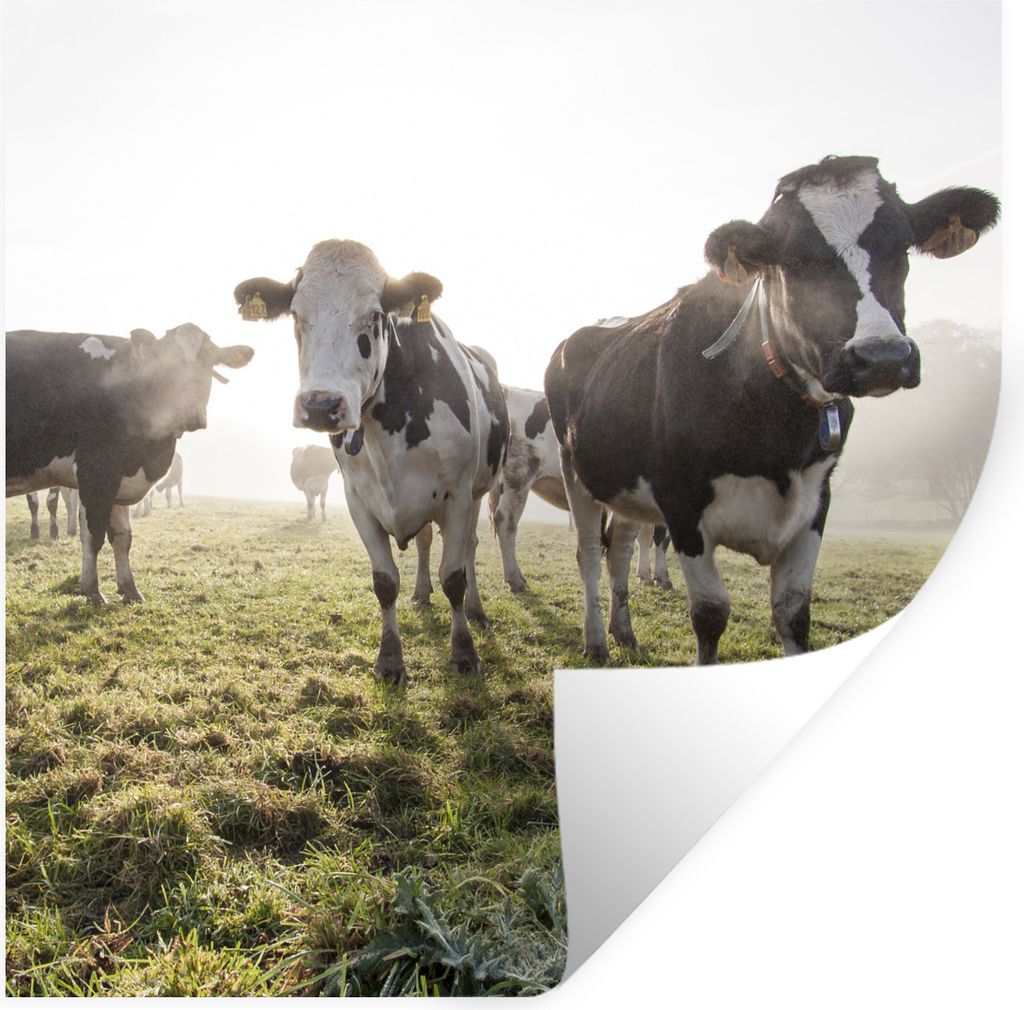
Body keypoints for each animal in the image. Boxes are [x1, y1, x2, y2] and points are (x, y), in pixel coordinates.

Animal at [6, 325, 254, 602]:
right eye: (166, 366)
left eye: (209, 361)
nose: (191, 414)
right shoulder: (96, 469)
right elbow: (93, 534)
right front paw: (92, 590)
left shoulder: (120, 475)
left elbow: (123, 537)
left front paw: (130, 589)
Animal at [234, 239, 509, 685]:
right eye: (296, 315)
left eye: (376, 315)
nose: (321, 405)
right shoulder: (358, 500)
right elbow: (384, 582)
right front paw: (390, 659)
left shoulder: (458, 494)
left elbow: (454, 577)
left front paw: (464, 652)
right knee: (425, 542)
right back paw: (421, 593)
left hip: (480, 490)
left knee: (468, 549)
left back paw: (476, 610)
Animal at [545, 155, 999, 664]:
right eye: (795, 260)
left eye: (901, 246)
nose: (882, 357)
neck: (775, 432)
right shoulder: (681, 503)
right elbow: (710, 614)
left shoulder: (816, 502)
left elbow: (793, 613)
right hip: (577, 472)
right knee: (588, 553)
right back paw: (597, 641)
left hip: (625, 485)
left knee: (619, 551)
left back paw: (624, 634)